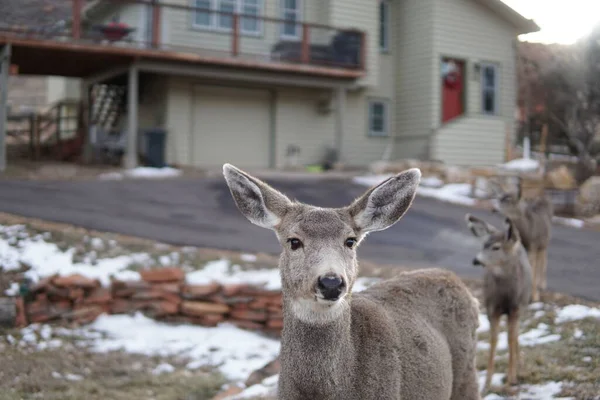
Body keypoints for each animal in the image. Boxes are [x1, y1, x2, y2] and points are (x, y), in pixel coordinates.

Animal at [464, 214, 528, 392]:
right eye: (483, 245)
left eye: (496, 247)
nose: (476, 260)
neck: (505, 295)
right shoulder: (492, 307)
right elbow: (493, 340)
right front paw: (487, 383)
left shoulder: (515, 308)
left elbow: (511, 339)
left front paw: (510, 380)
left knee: (516, 335)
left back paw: (518, 371)